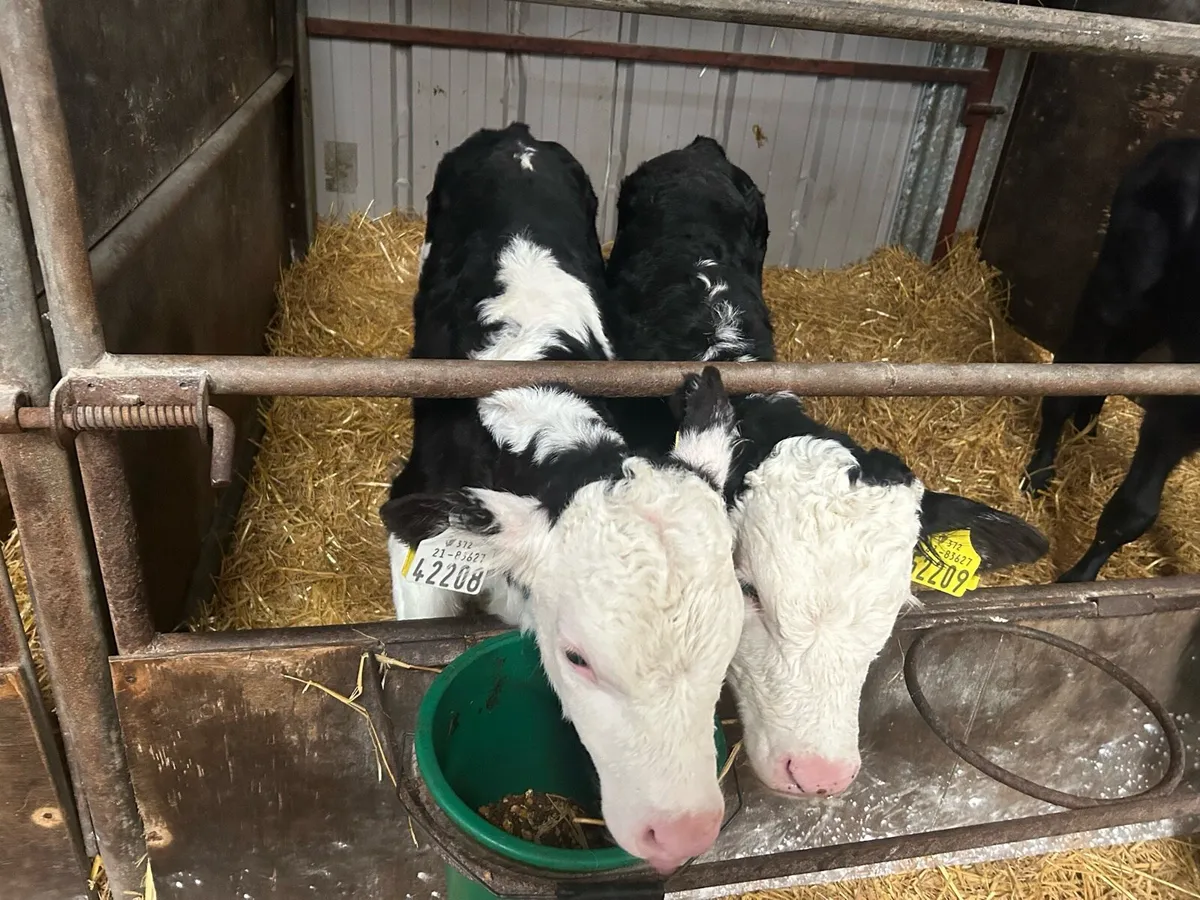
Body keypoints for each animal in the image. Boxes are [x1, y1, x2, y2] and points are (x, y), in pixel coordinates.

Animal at [1022, 137, 1200, 582]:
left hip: (1153, 315)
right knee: (1070, 373)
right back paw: (1040, 471)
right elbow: (1133, 511)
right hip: (1116, 293)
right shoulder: (1180, 409)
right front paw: (1076, 581)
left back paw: (1087, 427)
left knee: (1111, 364)